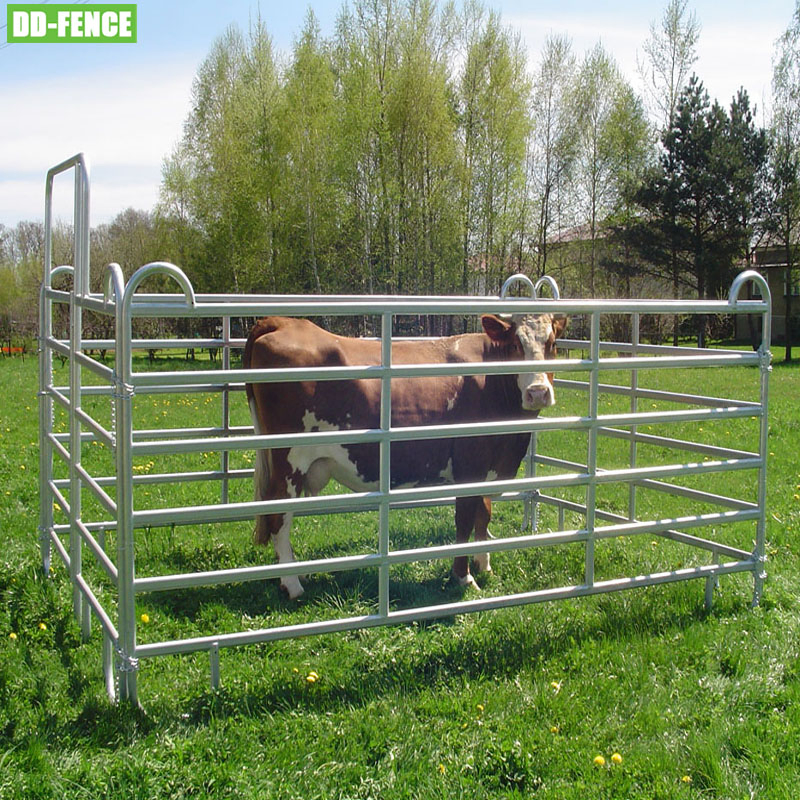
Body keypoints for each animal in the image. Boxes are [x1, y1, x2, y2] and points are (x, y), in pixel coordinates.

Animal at [244, 312, 567, 599]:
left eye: (552, 343)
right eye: (514, 345)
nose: (538, 392)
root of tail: (284, 322)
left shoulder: (488, 467)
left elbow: (483, 515)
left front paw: (484, 565)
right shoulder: (469, 465)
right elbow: (464, 520)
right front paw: (463, 577)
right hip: (290, 461)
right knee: (278, 516)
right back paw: (292, 584)